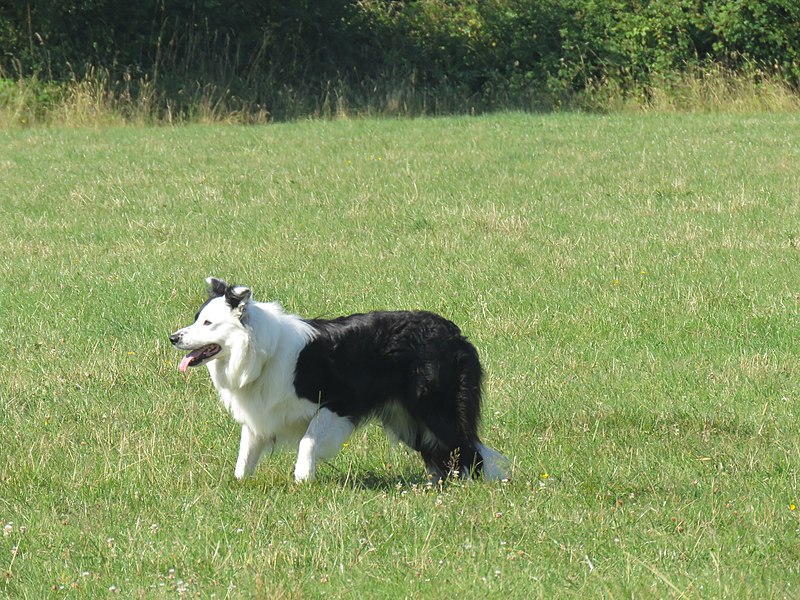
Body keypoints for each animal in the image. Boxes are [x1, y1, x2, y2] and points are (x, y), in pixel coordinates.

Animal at [170, 278, 506, 482]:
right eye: (197, 318)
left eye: (208, 323)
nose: (173, 337)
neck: (263, 352)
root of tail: (454, 333)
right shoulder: (259, 414)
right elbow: (246, 453)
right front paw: (239, 482)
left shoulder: (339, 402)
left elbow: (307, 441)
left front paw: (302, 479)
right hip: (409, 421)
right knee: (445, 454)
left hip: (434, 409)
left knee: (469, 448)